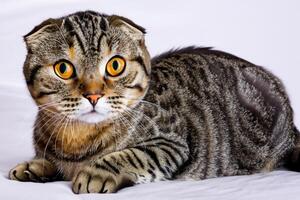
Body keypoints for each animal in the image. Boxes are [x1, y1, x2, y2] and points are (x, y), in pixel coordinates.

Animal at [8, 10, 300, 194]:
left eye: (115, 65)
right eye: (63, 69)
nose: (93, 94)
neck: (77, 143)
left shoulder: (172, 142)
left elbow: (131, 154)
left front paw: (95, 172)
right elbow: (49, 159)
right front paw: (35, 165)